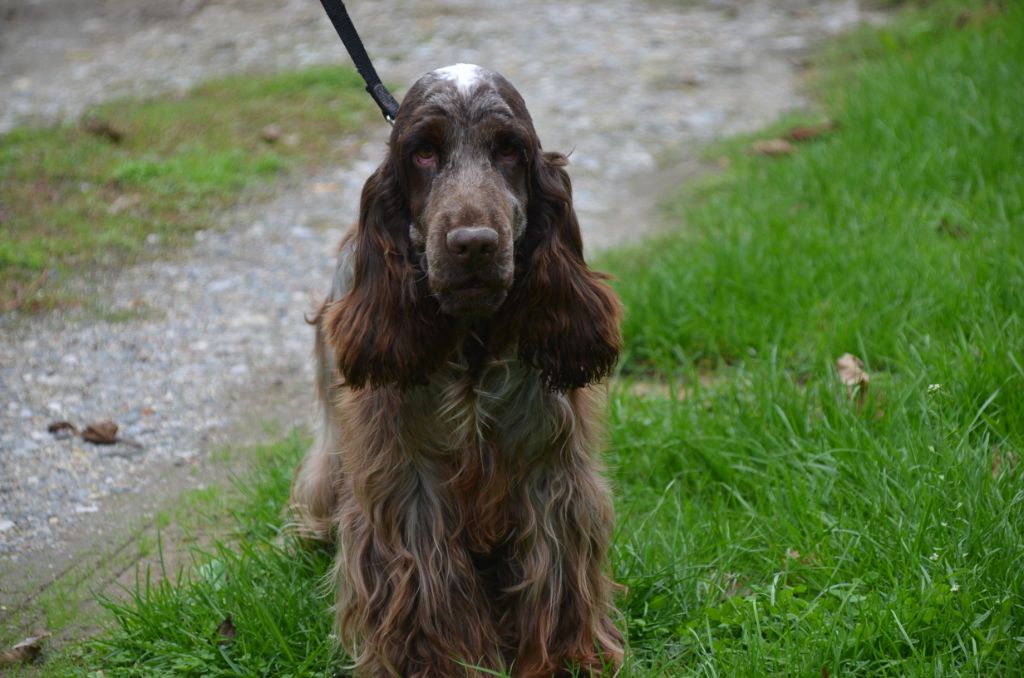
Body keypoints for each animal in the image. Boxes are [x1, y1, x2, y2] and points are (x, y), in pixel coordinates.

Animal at [290, 63, 622, 678]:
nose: (474, 244)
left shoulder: (548, 469)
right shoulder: (407, 478)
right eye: (423, 152)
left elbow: (556, 573)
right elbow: (426, 587)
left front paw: (564, 658)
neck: (470, 345)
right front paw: (440, 663)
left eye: (509, 150)